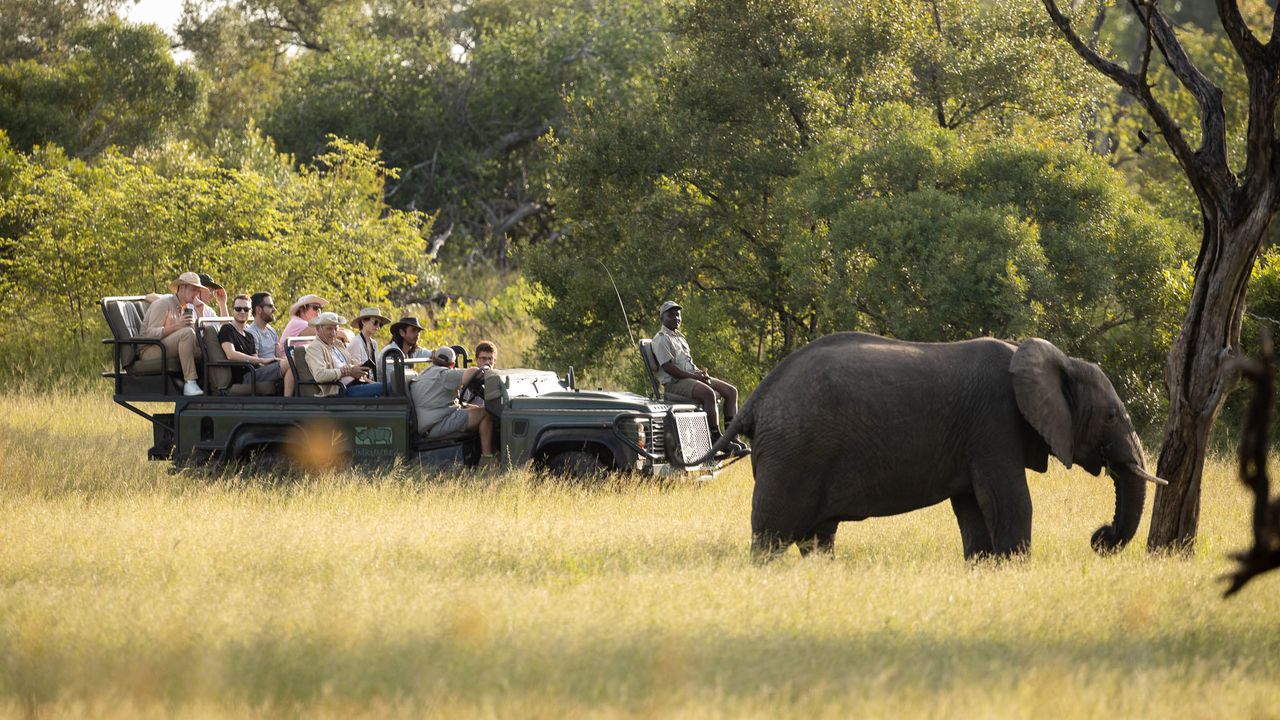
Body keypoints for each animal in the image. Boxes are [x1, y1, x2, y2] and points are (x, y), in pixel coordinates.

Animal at [686, 333, 1167, 561]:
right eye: (1112, 417)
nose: (1101, 538)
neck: (1056, 359)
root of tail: (757, 397)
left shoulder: (974, 438)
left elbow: (973, 507)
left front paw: (985, 570)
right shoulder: (994, 424)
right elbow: (1010, 500)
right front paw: (1016, 569)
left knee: (816, 534)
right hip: (795, 452)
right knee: (773, 534)